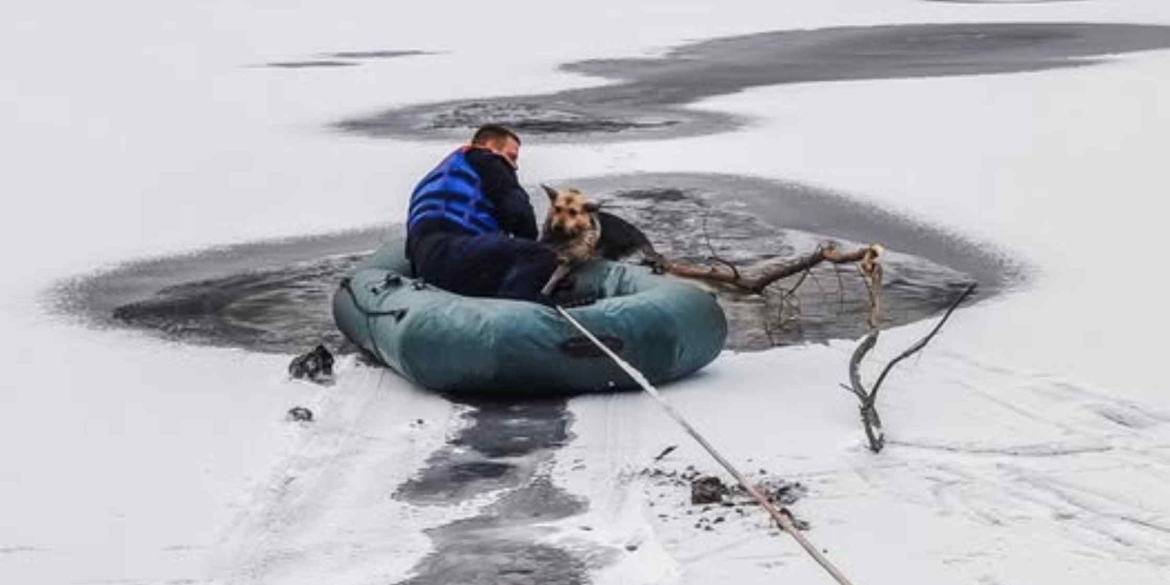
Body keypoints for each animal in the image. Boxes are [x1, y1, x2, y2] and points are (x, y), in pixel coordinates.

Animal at [540, 184, 669, 297]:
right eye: (557, 209)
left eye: (573, 212)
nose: (557, 227)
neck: (567, 236)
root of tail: (644, 239)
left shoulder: (572, 260)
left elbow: (556, 275)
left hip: (633, 256)